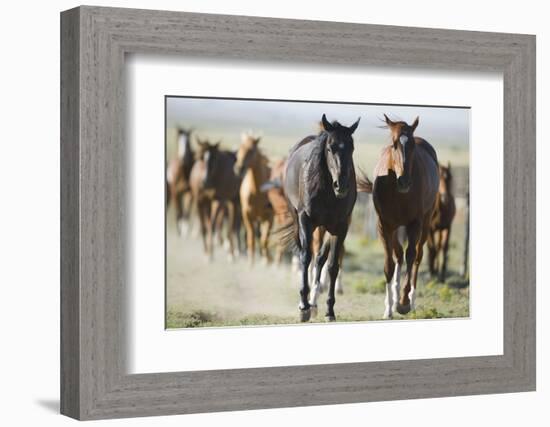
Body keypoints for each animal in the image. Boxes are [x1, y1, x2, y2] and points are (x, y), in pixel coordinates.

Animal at [234, 134, 274, 266]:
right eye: (240, 147)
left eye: (251, 150)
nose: (239, 168)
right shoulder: (247, 215)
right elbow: (251, 239)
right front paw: (251, 263)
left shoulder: (269, 217)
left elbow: (264, 240)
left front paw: (268, 261)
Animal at [282, 113, 360, 320]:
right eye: (330, 147)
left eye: (351, 147)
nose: (341, 185)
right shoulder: (306, 221)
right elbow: (305, 257)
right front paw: (303, 306)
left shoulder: (340, 227)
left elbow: (332, 265)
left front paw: (329, 311)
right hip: (298, 220)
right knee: (306, 253)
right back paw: (307, 303)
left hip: (325, 227)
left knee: (320, 259)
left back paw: (315, 304)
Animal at [358, 115, 440, 320]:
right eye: (394, 144)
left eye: (412, 145)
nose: (404, 181)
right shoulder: (384, 225)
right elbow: (389, 263)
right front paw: (389, 307)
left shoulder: (415, 224)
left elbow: (411, 256)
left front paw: (403, 302)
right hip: (394, 228)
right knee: (398, 254)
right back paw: (393, 298)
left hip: (425, 223)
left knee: (417, 256)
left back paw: (411, 299)